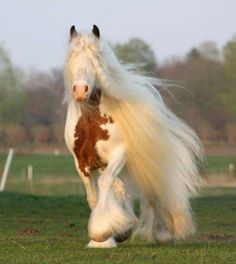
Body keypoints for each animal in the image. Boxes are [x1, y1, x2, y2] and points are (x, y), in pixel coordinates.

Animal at [64, 24, 203, 248]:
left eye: (95, 60)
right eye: (72, 59)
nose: (80, 90)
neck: (91, 121)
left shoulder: (119, 155)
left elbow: (105, 184)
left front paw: (104, 233)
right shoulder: (82, 164)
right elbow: (94, 197)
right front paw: (103, 238)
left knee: (152, 195)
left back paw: (160, 235)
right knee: (124, 189)